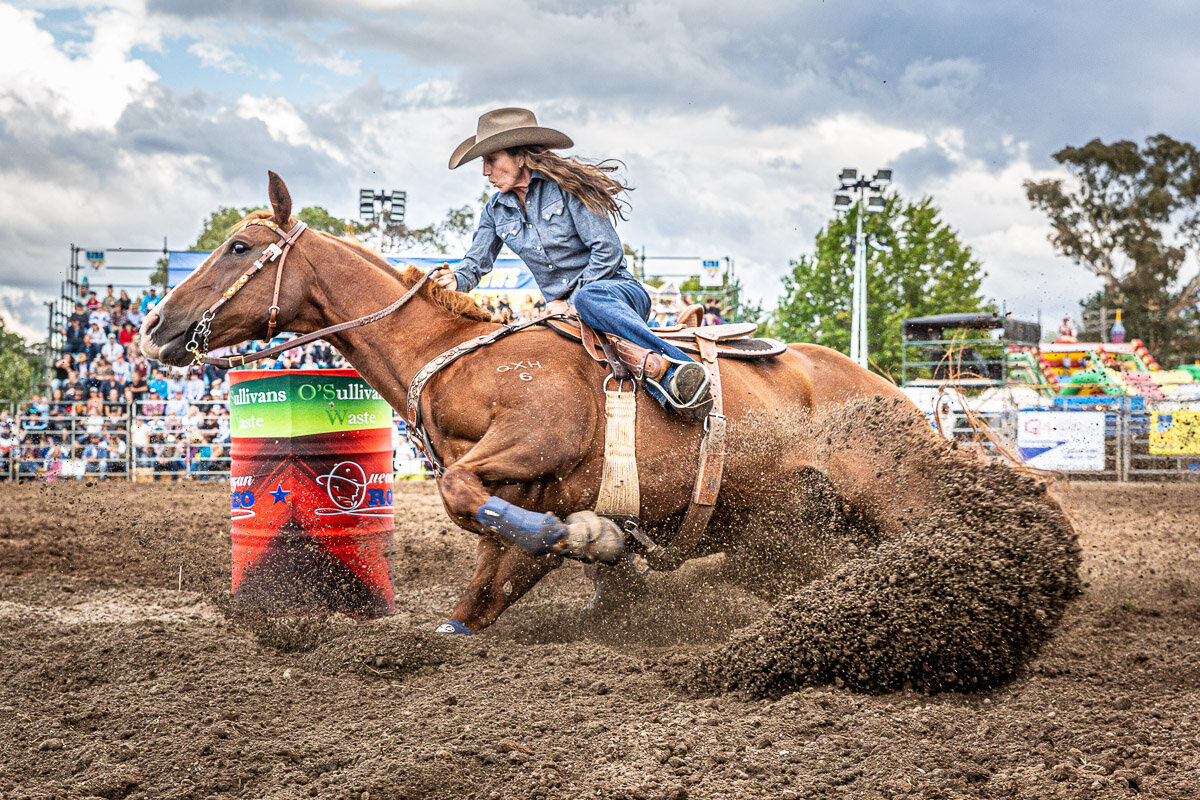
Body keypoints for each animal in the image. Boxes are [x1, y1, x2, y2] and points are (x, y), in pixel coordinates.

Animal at [145, 173, 940, 638]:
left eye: (238, 246)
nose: (155, 325)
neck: (458, 354)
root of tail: (888, 392)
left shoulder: (534, 440)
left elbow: (465, 495)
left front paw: (592, 537)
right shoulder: (529, 488)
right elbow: (485, 578)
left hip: (898, 496)